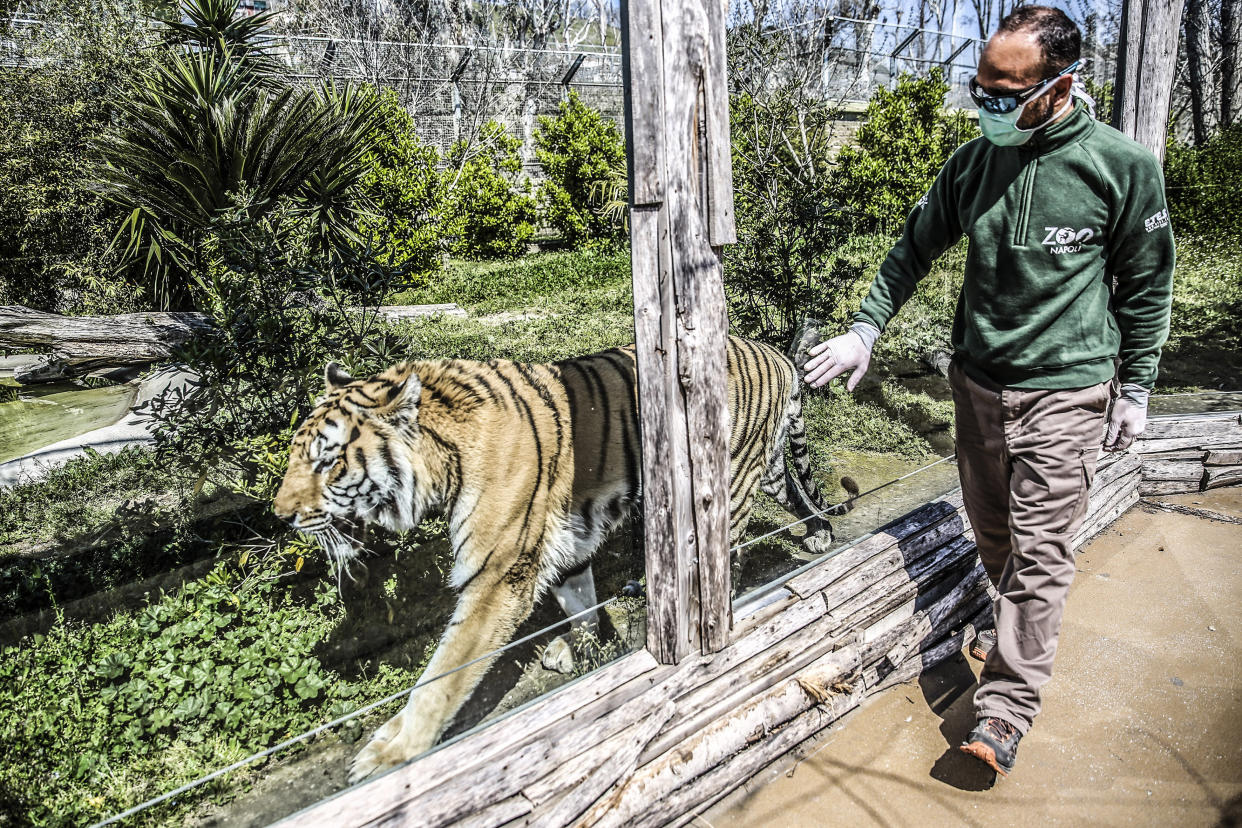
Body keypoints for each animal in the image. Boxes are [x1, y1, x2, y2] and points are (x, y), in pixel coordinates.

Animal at [270, 335, 854, 784]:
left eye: (328, 462)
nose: (280, 515)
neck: (444, 461)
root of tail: (773, 352)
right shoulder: (566, 537)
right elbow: (577, 598)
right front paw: (585, 649)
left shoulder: (497, 574)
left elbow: (443, 674)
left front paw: (393, 751)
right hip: (768, 469)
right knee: (797, 492)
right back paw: (819, 534)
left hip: (731, 482)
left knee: (723, 557)